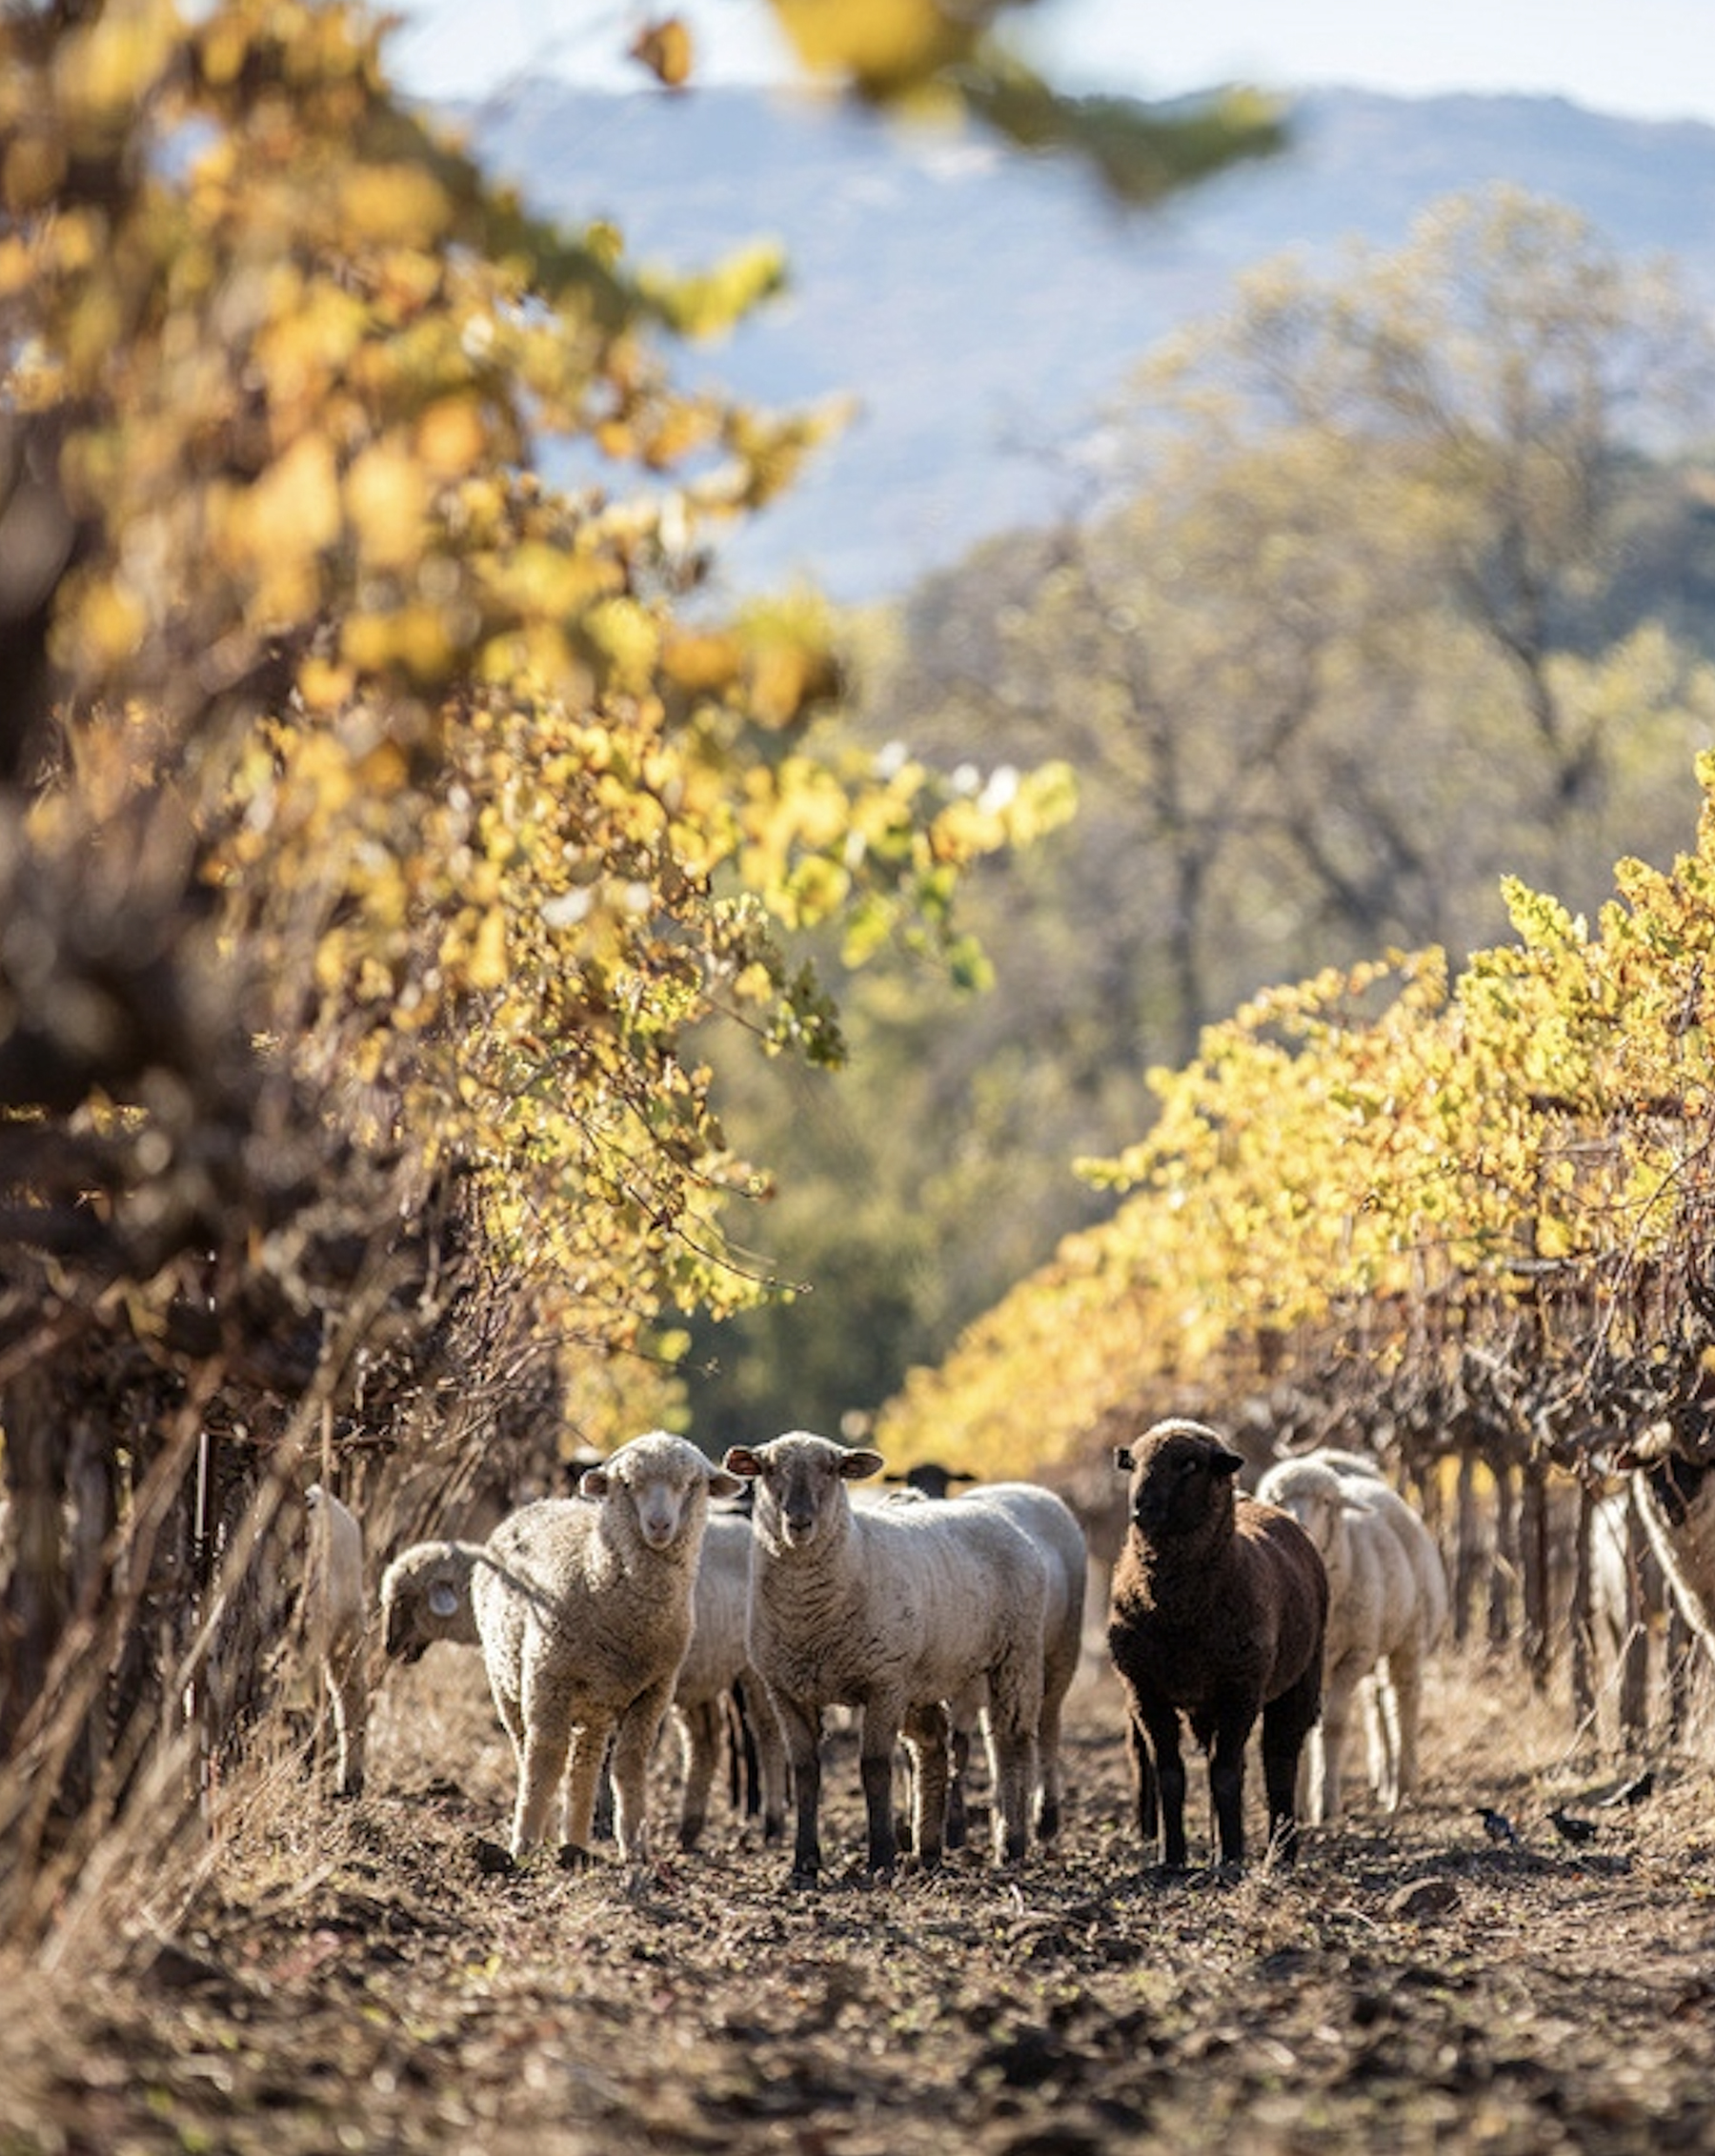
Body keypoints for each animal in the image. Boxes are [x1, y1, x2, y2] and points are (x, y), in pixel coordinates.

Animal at [469, 1430, 741, 1866]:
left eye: (692, 1485)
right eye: (626, 1484)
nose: (659, 1525)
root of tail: (541, 1503)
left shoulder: (655, 1690)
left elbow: (629, 1763)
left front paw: (636, 1848)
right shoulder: (548, 1677)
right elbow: (545, 1759)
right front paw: (523, 1845)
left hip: (597, 1701)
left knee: (585, 1762)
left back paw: (575, 1845)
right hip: (507, 1681)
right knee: (528, 1749)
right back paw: (546, 1837)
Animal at [722, 1431, 1048, 1887]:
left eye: (832, 1469)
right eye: (767, 1470)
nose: (799, 1522)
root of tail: (997, 1514)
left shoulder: (882, 1683)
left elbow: (874, 1768)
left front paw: (879, 1860)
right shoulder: (787, 1690)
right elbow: (804, 1772)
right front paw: (803, 1864)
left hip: (1016, 1653)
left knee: (1011, 1743)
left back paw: (1011, 1846)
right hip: (923, 1674)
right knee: (932, 1749)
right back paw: (927, 1853)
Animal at [1107, 1418, 1327, 1869]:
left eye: (1190, 1464)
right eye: (1133, 1463)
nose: (1141, 1509)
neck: (1179, 1615)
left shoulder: (1240, 1687)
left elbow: (1225, 1774)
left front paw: (1231, 1859)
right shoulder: (1145, 1690)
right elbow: (1171, 1773)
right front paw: (1171, 1858)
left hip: (1299, 1678)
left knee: (1279, 1761)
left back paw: (1280, 1852)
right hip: (1206, 1702)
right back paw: (1218, 1846)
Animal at [1255, 1451, 1447, 1819]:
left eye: (1326, 1502)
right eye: (1276, 1500)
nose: (1299, 1528)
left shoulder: (1354, 1655)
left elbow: (1333, 1725)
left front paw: (1326, 1804)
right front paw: (1298, 1807)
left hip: (1408, 1637)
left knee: (1403, 1701)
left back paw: (1402, 1787)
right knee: (1380, 1706)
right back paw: (1386, 1780)